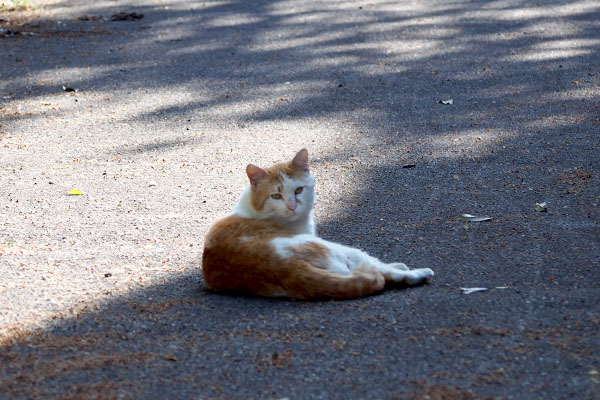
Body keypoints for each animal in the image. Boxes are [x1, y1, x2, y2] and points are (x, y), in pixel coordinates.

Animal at [204, 148, 434, 298]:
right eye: (276, 196)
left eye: (298, 190)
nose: (292, 206)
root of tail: (289, 270)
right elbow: (377, 265)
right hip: (332, 248)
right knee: (380, 271)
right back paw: (419, 273)